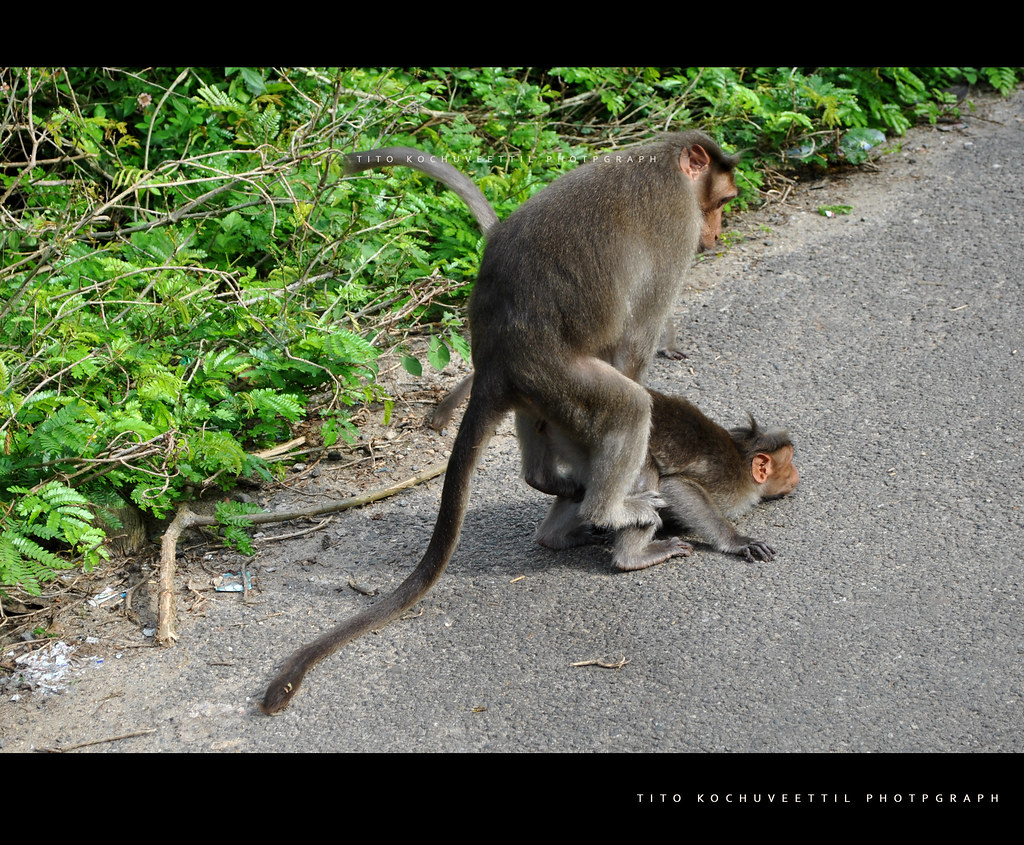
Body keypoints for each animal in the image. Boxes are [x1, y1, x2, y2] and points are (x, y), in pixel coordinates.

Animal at [260, 132, 741, 712]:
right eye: (719, 203)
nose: (716, 233)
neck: (664, 160)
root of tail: (495, 359)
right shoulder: (676, 230)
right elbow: (636, 344)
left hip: (541, 385)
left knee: (540, 419)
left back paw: (548, 480)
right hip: (559, 371)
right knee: (627, 405)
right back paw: (608, 510)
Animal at [528, 387, 798, 569]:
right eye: (790, 461)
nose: (796, 474)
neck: (742, 456)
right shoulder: (730, 486)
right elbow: (674, 486)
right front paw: (737, 541)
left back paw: (553, 538)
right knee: (647, 474)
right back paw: (633, 557)